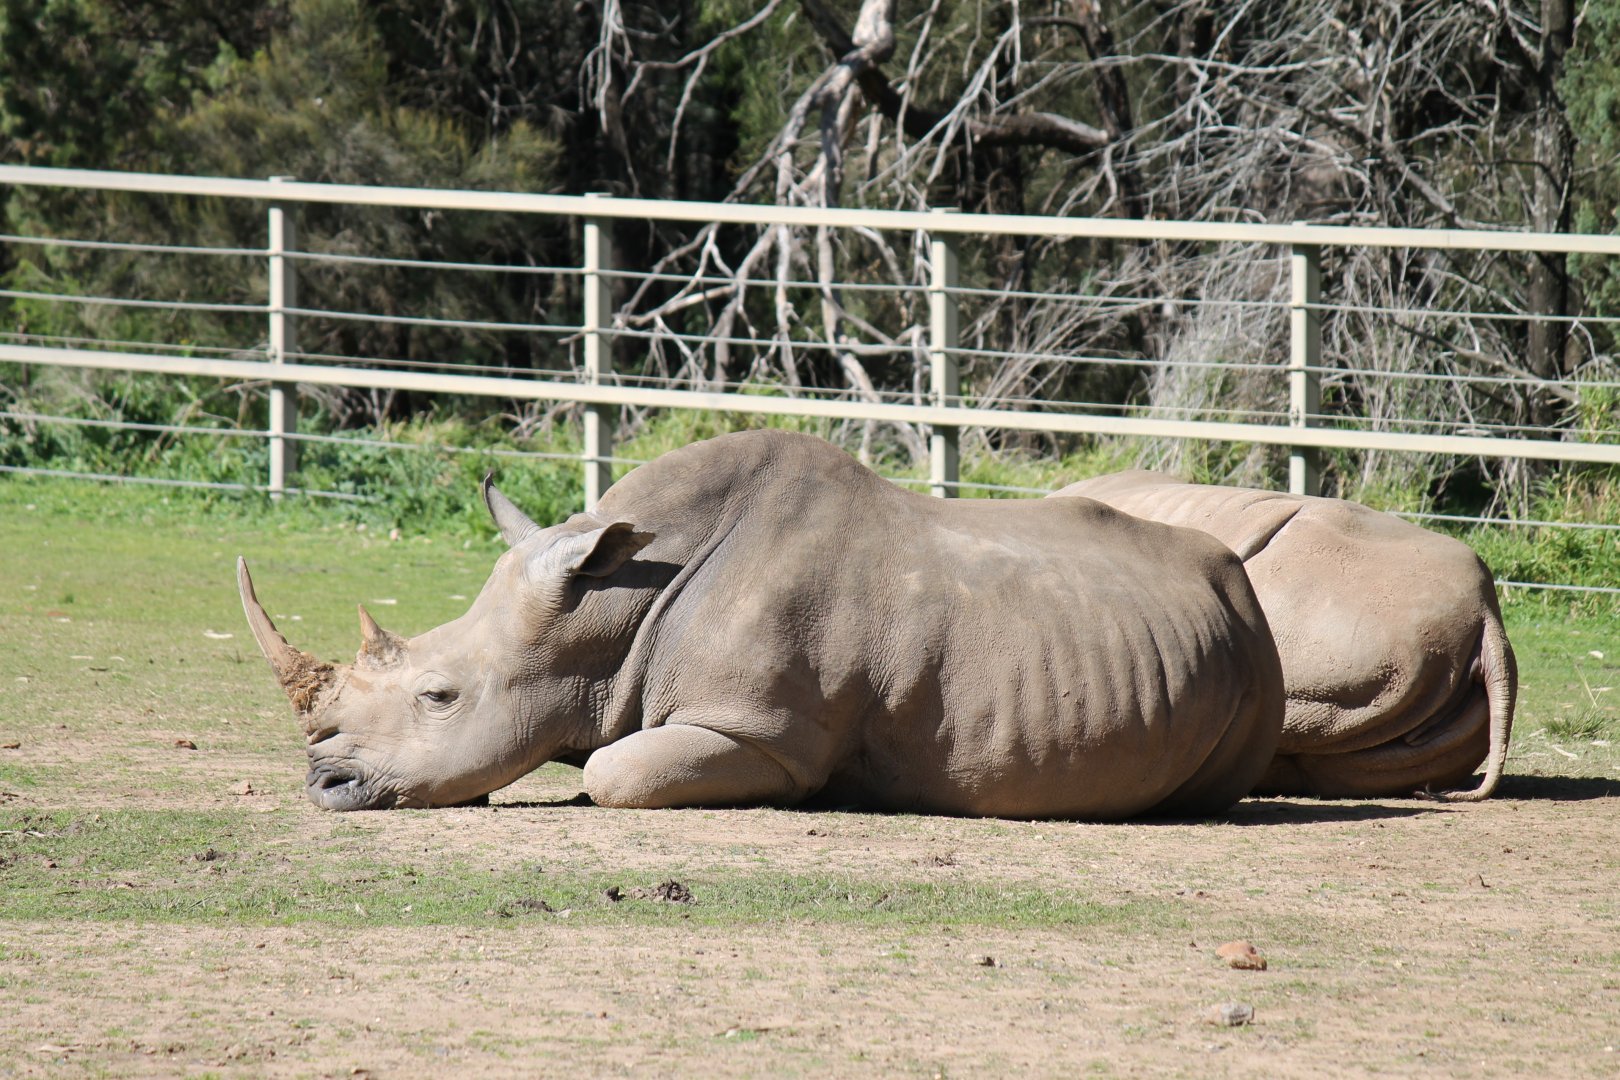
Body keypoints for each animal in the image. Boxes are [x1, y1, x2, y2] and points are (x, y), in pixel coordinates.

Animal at [238, 430, 1285, 819]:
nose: (323, 786)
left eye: (440, 696)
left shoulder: (762, 734)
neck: (608, 612)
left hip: (1254, 639)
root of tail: (1236, 576)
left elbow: (615, 773)